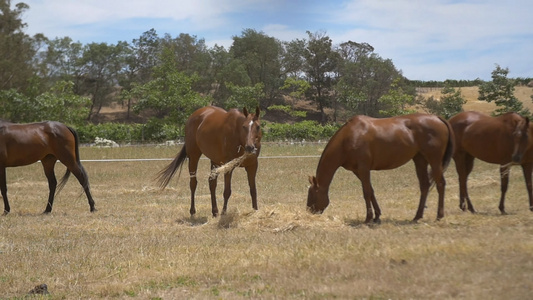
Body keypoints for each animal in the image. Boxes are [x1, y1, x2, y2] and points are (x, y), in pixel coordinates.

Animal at [308, 113, 454, 224]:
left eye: (311, 194)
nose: (309, 211)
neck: (349, 137)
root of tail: (438, 118)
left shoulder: (364, 168)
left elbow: (366, 192)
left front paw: (368, 218)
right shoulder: (358, 171)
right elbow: (371, 191)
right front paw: (377, 216)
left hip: (434, 161)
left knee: (441, 184)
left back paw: (439, 216)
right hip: (420, 160)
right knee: (424, 186)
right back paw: (417, 216)